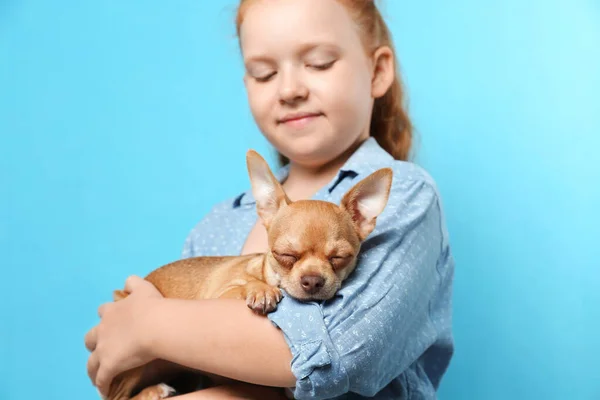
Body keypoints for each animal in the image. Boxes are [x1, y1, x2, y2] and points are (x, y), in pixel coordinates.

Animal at [103, 151, 394, 400]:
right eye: (285, 255)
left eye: (339, 258)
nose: (312, 280)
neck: (267, 273)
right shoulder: (219, 295)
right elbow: (244, 284)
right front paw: (261, 291)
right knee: (116, 395)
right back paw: (153, 391)